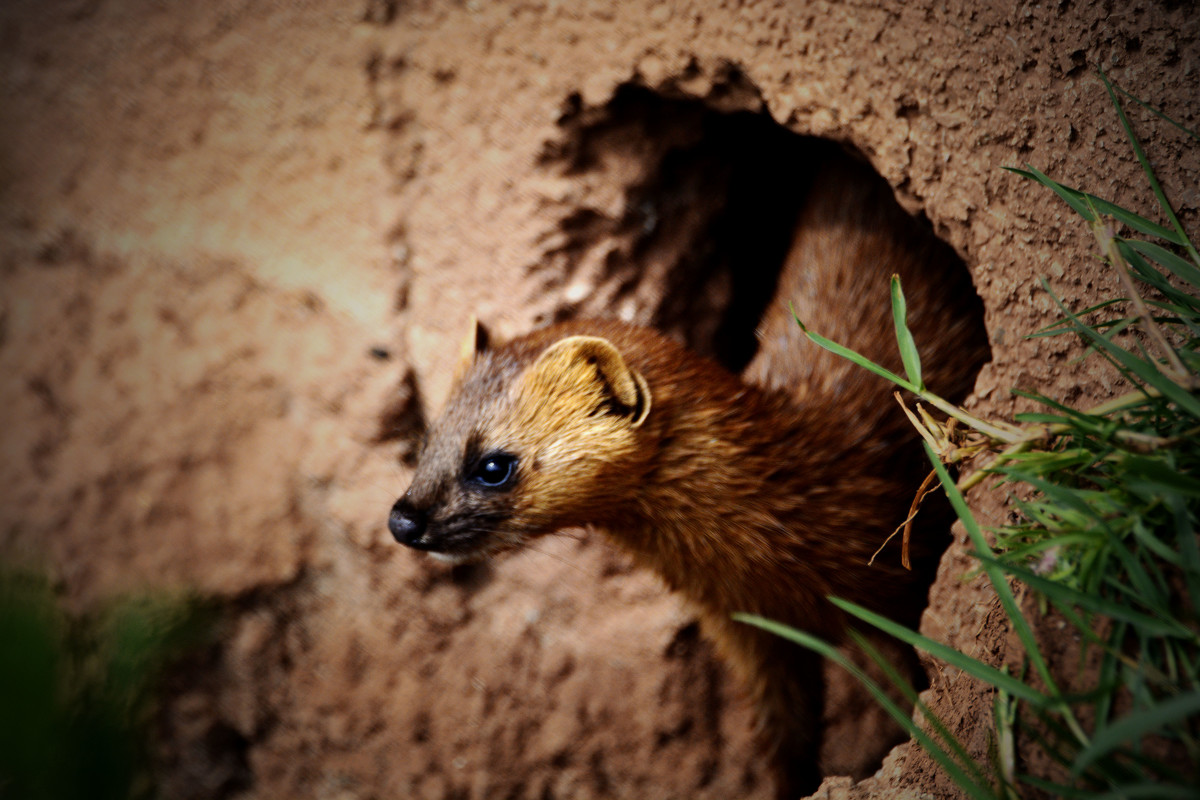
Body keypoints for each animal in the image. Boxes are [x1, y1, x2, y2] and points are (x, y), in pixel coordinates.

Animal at [388, 151, 988, 800]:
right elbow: (783, 735)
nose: (403, 519)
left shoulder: (890, 584)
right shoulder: (749, 634)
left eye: (494, 465)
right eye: (427, 439)